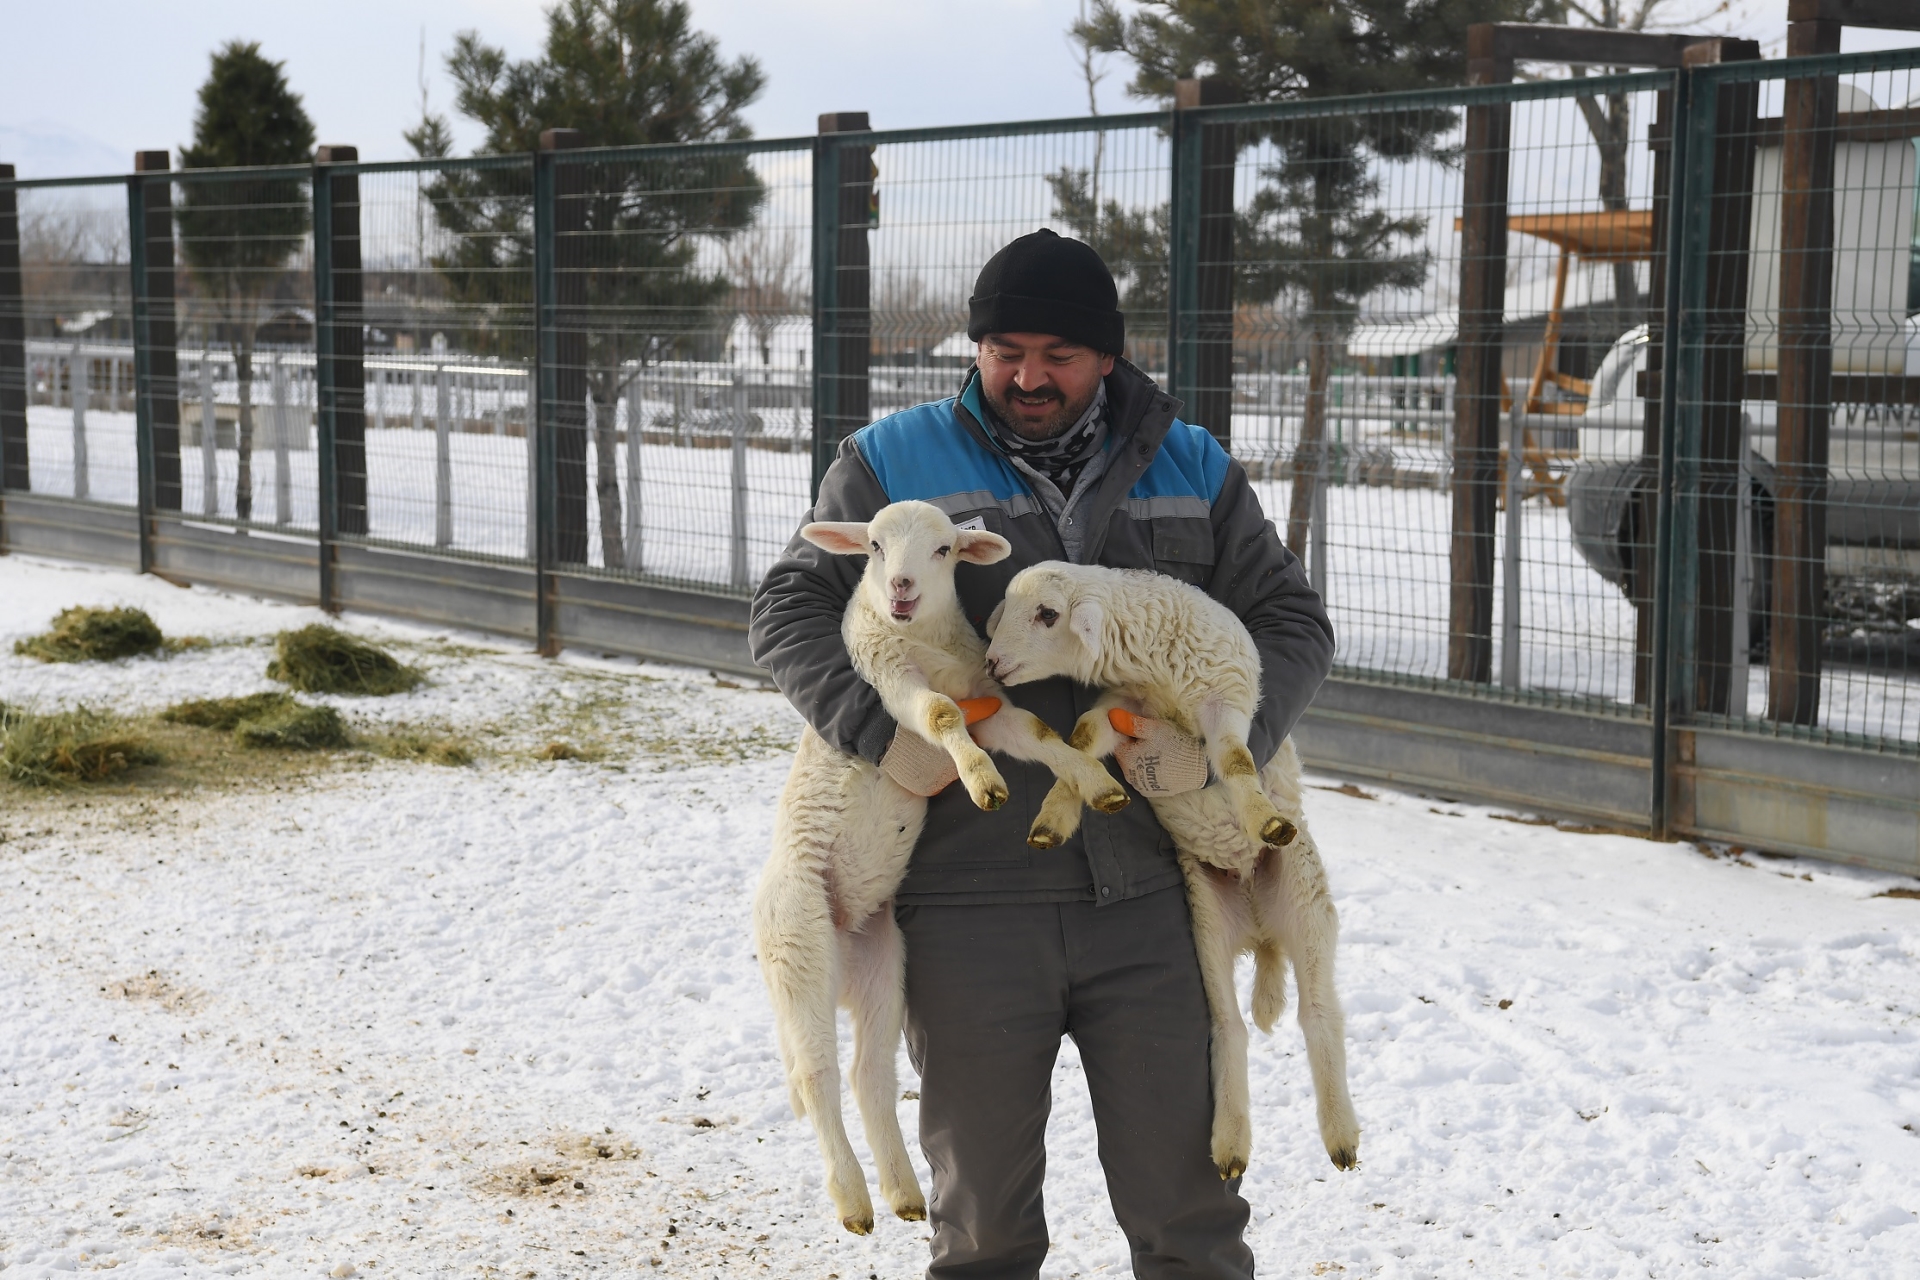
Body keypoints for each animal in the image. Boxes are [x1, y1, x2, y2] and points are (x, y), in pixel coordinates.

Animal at [756, 498, 1128, 1228]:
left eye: (944, 550)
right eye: (873, 546)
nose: (900, 587)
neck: (923, 639)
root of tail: (840, 932)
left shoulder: (990, 699)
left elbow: (1036, 731)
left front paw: (1094, 783)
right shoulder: (888, 679)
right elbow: (939, 714)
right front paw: (983, 783)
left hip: (882, 963)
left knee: (869, 1072)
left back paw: (902, 1192)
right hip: (799, 946)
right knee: (815, 1074)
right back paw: (852, 1198)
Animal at [983, 560, 1359, 1182]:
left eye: (1047, 615)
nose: (990, 663)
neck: (1155, 675)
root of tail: (1262, 928)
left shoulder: (1226, 700)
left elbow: (1235, 762)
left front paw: (1262, 817)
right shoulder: (1120, 709)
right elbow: (1081, 741)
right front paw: (1059, 816)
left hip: (1307, 904)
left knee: (1319, 1015)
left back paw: (1340, 1136)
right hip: (1207, 924)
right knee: (1229, 1026)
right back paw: (1230, 1144)